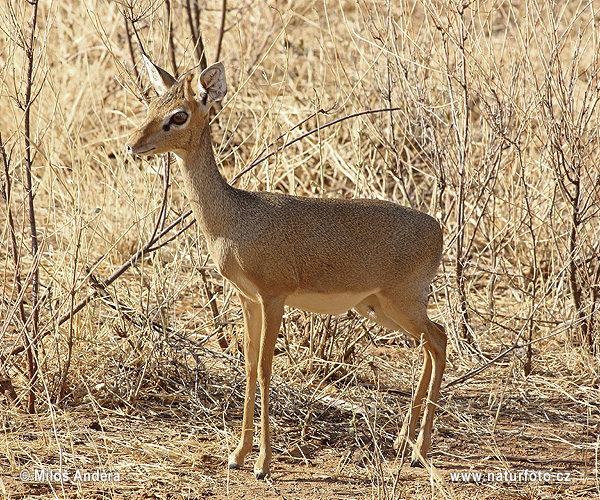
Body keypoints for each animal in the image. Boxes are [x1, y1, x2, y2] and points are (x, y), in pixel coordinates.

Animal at [126, 56, 446, 478]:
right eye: (151, 104)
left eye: (179, 115)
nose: (132, 145)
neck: (234, 218)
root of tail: (437, 229)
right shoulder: (247, 298)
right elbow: (247, 366)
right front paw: (239, 453)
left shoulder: (273, 295)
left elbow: (265, 369)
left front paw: (263, 463)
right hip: (379, 308)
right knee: (431, 344)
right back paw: (402, 443)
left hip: (402, 303)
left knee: (439, 341)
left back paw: (420, 450)